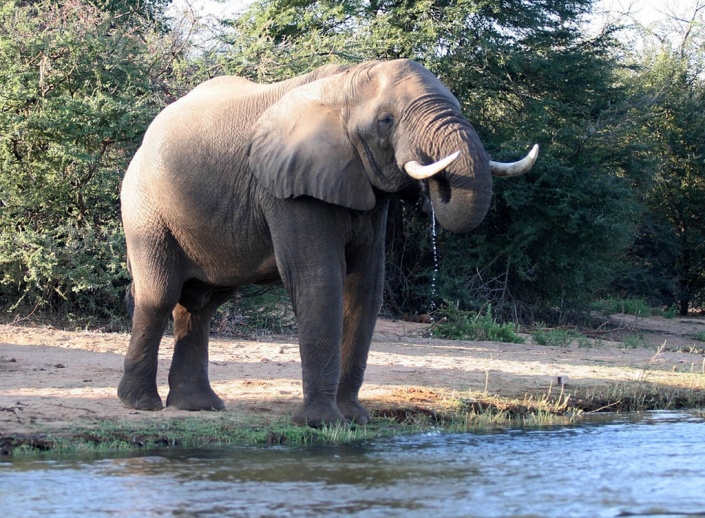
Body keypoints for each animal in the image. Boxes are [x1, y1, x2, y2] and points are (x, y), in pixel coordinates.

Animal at [118, 58, 538, 427]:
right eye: (386, 121)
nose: (431, 188)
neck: (344, 85)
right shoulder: (287, 185)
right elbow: (319, 280)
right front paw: (322, 424)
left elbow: (366, 285)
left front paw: (354, 420)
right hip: (145, 208)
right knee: (160, 295)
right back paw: (141, 404)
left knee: (201, 304)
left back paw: (198, 406)